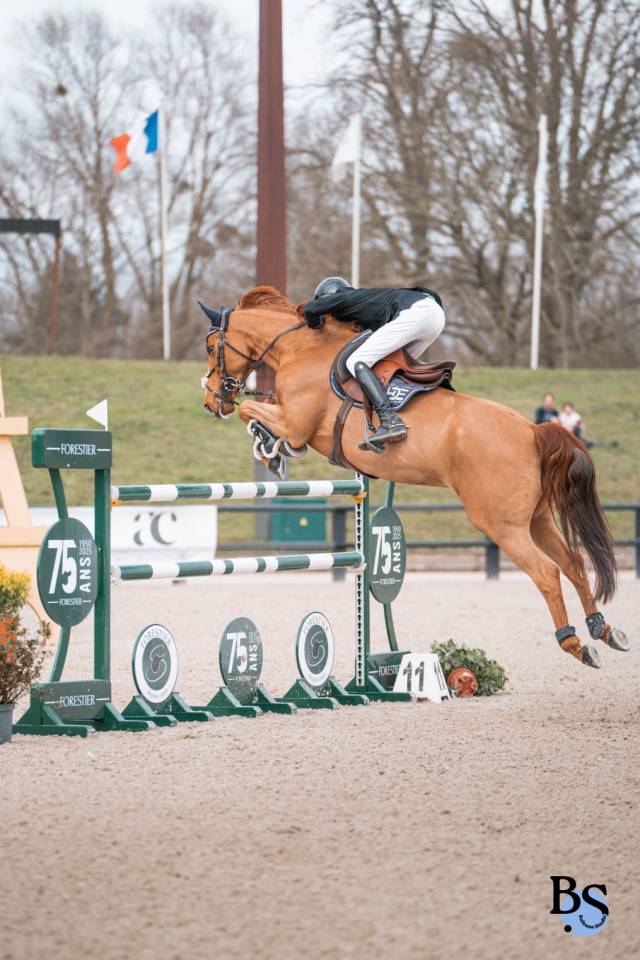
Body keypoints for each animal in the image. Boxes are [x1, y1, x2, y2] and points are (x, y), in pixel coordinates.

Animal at [201, 285, 629, 668]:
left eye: (209, 347)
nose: (210, 402)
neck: (300, 348)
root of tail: (533, 431)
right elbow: (259, 410)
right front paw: (271, 448)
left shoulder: (295, 423)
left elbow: (255, 413)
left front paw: (270, 448)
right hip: (536, 519)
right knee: (573, 564)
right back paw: (602, 630)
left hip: (501, 524)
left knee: (547, 573)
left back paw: (574, 643)